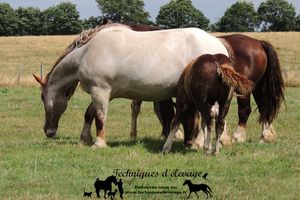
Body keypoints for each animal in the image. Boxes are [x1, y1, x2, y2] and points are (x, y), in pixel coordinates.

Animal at [33, 22, 227, 148]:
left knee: (208, 115)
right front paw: (84, 139)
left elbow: (100, 117)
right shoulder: (103, 92)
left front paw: (99, 142)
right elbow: (89, 114)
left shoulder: (100, 90)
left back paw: (200, 142)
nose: (48, 131)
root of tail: (220, 47)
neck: (85, 53)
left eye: (42, 97)